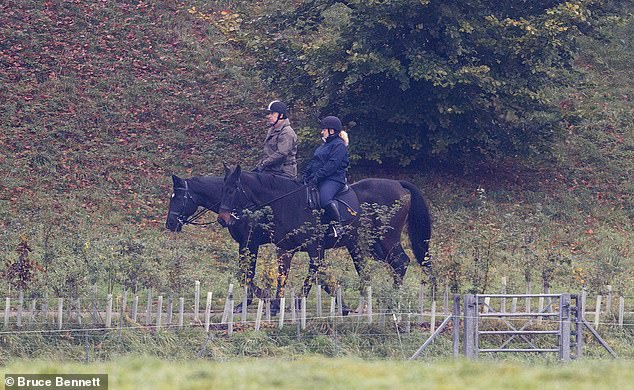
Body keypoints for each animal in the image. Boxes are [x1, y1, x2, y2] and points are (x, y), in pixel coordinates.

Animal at [215, 165, 432, 308]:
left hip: (388, 237)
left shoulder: (314, 247)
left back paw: (392, 300)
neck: (287, 202)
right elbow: (282, 275)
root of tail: (399, 184)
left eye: (233, 190)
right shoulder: (285, 248)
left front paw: (298, 301)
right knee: (371, 267)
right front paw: (276, 303)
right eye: (222, 190)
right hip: (365, 243)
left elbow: (314, 272)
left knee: (400, 262)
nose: (223, 219)